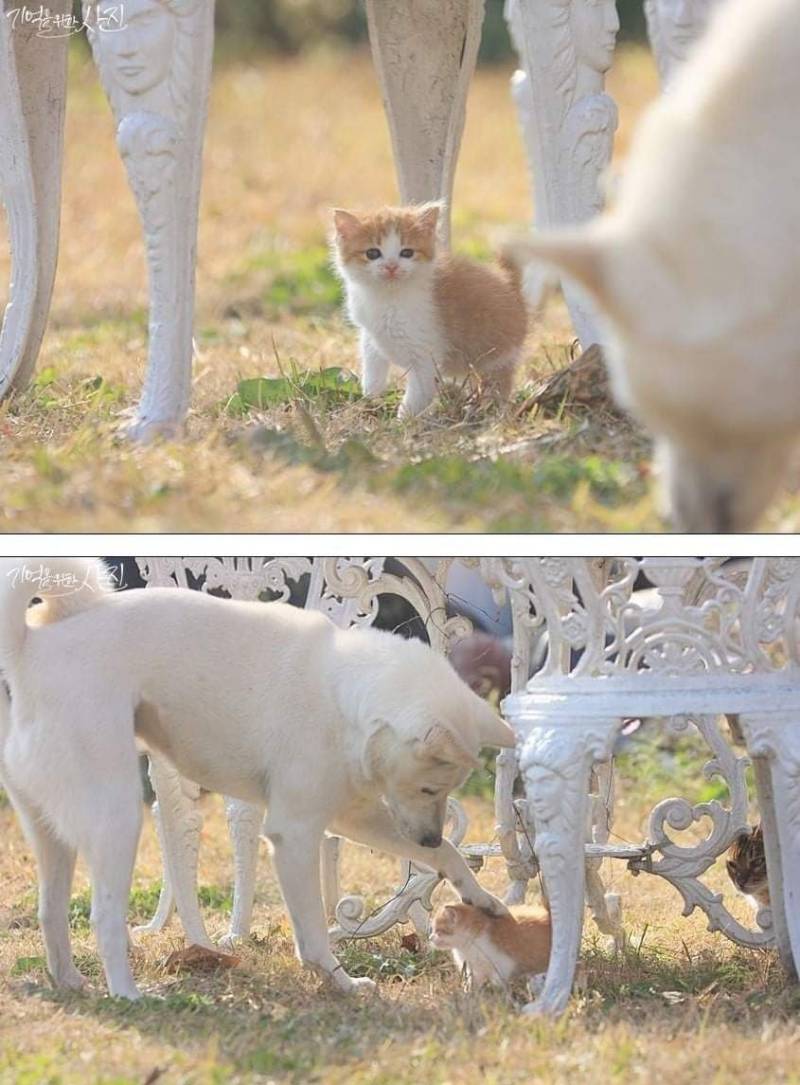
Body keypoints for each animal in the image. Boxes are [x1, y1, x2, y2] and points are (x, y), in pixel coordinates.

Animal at [0, 559, 512, 998]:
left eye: (446, 792)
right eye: (429, 788)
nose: (427, 838)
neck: (343, 693)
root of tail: (30, 651)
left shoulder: (352, 817)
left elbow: (451, 855)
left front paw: (481, 898)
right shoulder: (295, 835)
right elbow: (313, 934)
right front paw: (340, 983)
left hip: (53, 835)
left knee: (51, 912)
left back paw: (69, 982)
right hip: (119, 820)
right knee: (104, 917)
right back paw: (129, 994)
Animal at [329, 203, 525, 418]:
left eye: (407, 252)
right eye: (372, 253)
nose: (391, 267)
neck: (388, 298)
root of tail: (512, 290)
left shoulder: (425, 355)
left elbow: (417, 393)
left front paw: (402, 421)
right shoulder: (370, 334)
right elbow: (372, 369)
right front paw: (370, 400)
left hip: (497, 355)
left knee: (499, 383)